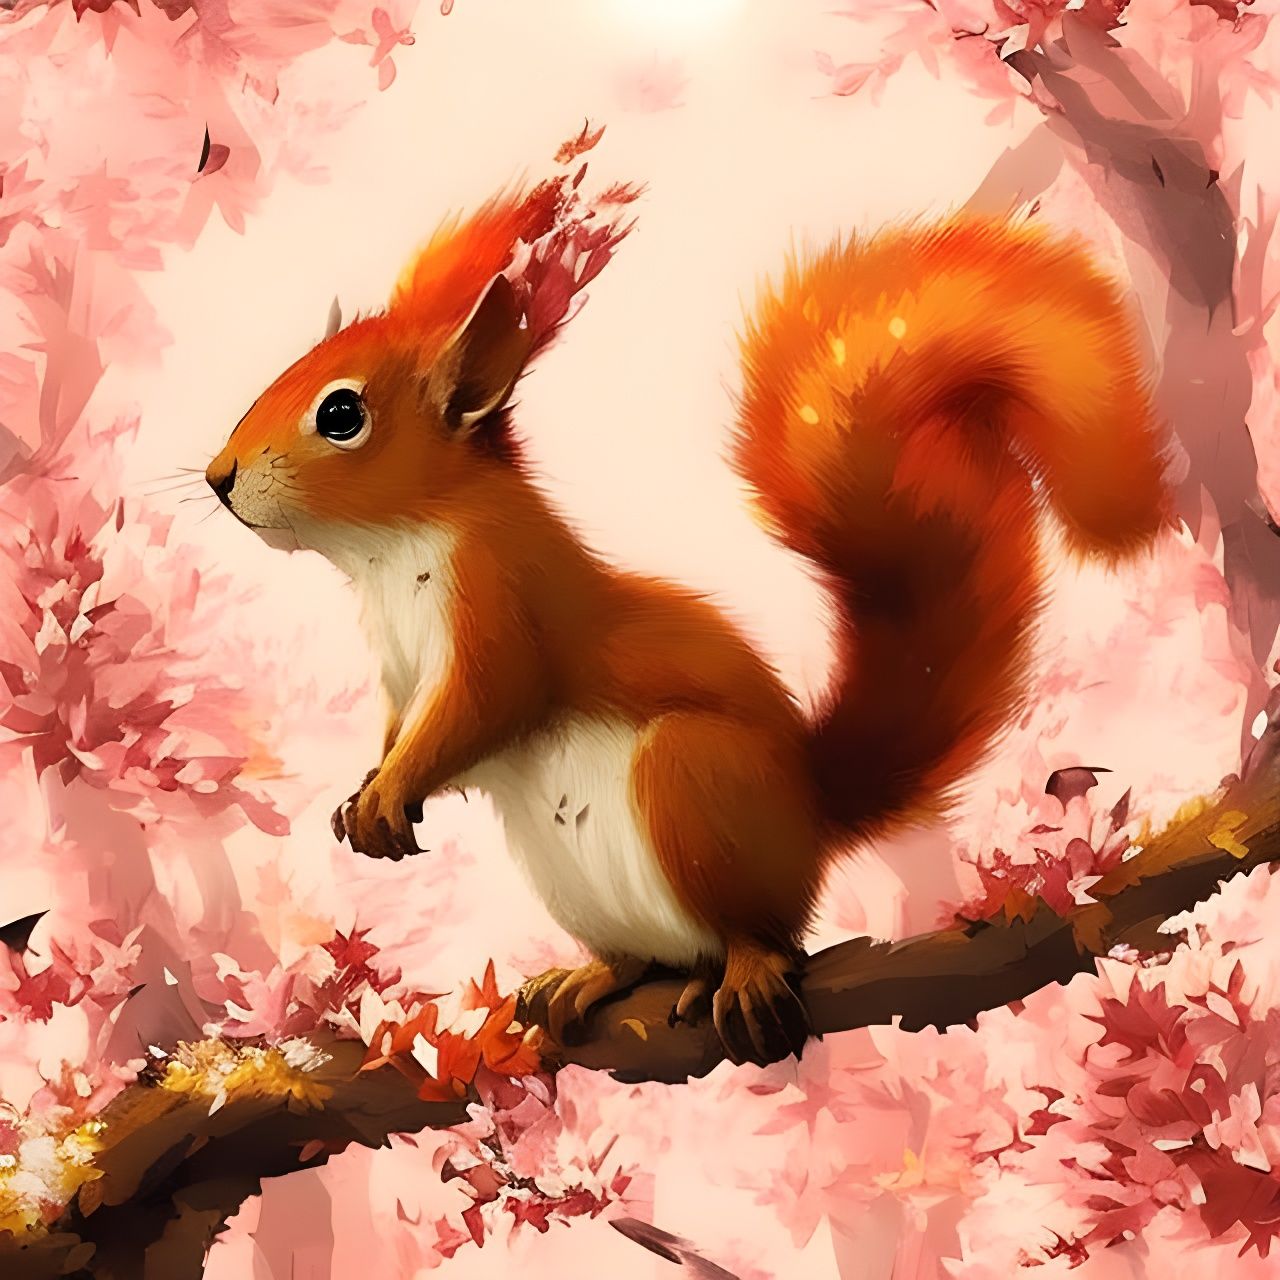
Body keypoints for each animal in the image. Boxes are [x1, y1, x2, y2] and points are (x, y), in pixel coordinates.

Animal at [206, 181, 1171, 1067]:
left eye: (341, 413)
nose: (217, 478)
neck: (393, 553)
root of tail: (810, 812)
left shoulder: (505, 607)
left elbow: (480, 707)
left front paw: (393, 788)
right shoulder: (402, 669)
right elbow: (401, 723)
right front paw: (366, 788)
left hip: (694, 782)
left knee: (761, 932)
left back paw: (744, 970)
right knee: (648, 955)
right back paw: (589, 978)